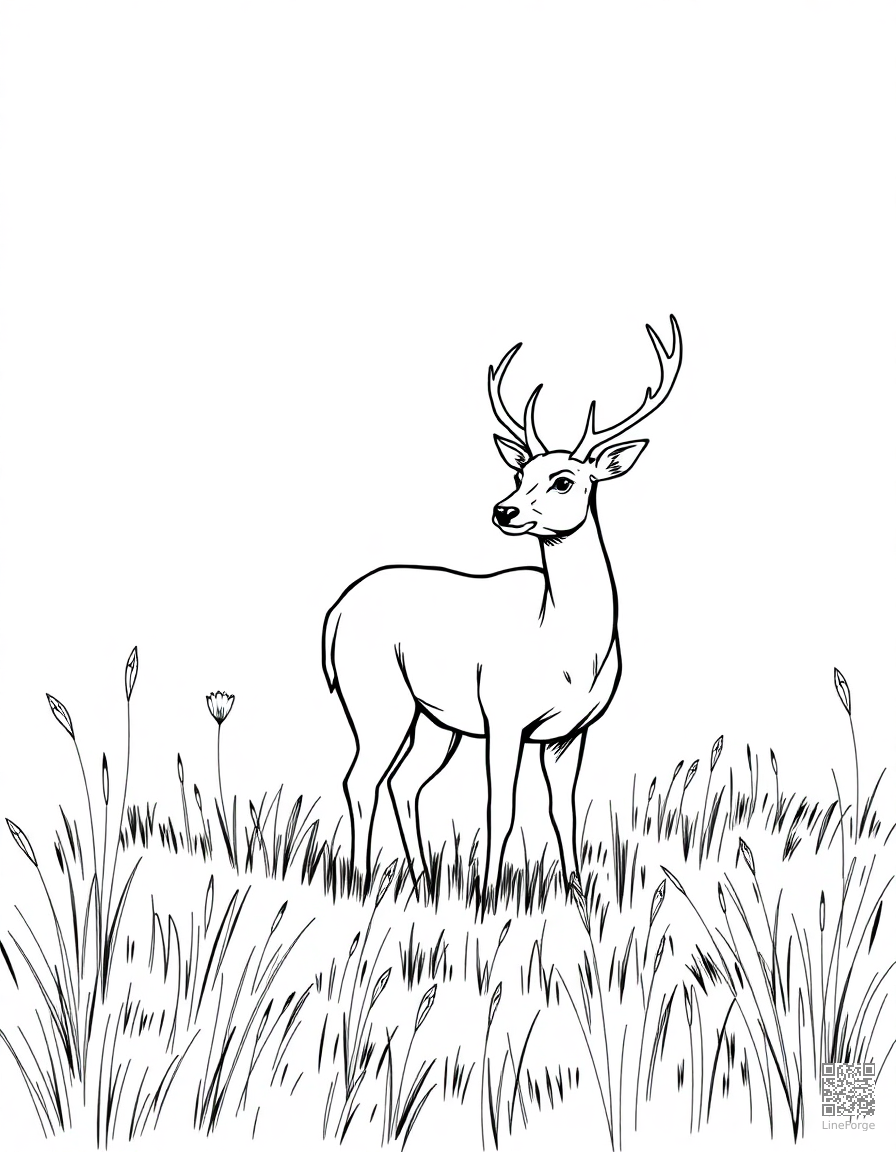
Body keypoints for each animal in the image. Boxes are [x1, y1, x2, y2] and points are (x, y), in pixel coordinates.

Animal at [322, 316, 682, 908]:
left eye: (564, 479)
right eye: (520, 474)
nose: (503, 510)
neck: (567, 649)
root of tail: (334, 613)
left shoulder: (570, 732)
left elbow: (563, 809)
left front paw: (577, 893)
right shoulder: (503, 717)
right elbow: (501, 809)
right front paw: (488, 897)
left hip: (434, 718)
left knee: (405, 782)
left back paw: (422, 883)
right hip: (375, 695)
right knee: (361, 779)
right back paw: (358, 884)